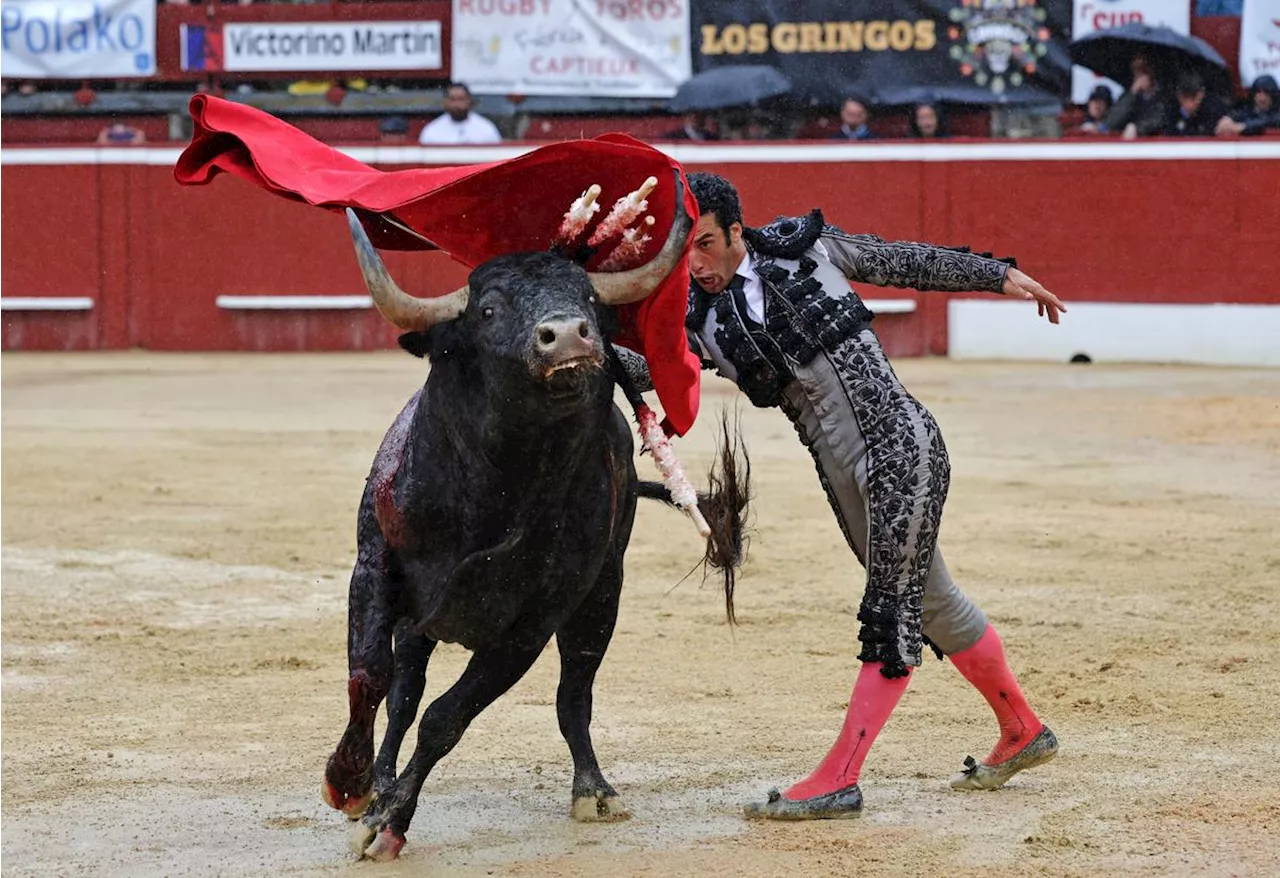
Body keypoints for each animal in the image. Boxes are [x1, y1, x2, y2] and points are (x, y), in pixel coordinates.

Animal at [313, 176, 747, 860]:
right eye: (488, 310)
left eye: (588, 299)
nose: (569, 335)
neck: (491, 490)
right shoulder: (375, 566)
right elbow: (371, 676)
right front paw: (353, 786)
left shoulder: (533, 621)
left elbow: (448, 717)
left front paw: (389, 823)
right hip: (423, 619)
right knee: (404, 691)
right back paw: (378, 779)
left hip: (601, 597)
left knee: (574, 695)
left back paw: (593, 790)